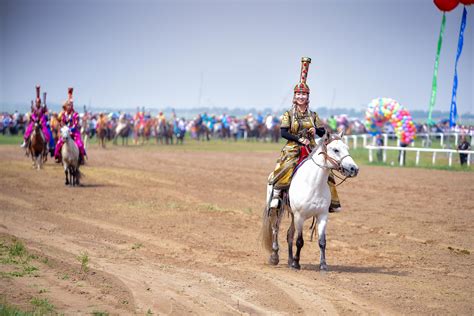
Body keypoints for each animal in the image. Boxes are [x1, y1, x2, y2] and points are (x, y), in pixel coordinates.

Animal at [262, 131, 358, 272]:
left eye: (347, 148)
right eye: (336, 149)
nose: (354, 169)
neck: (313, 184)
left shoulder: (322, 216)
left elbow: (322, 242)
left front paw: (323, 265)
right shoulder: (300, 216)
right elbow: (299, 241)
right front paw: (296, 264)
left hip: (293, 215)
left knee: (289, 234)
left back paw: (289, 260)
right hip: (278, 210)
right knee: (276, 229)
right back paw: (275, 257)